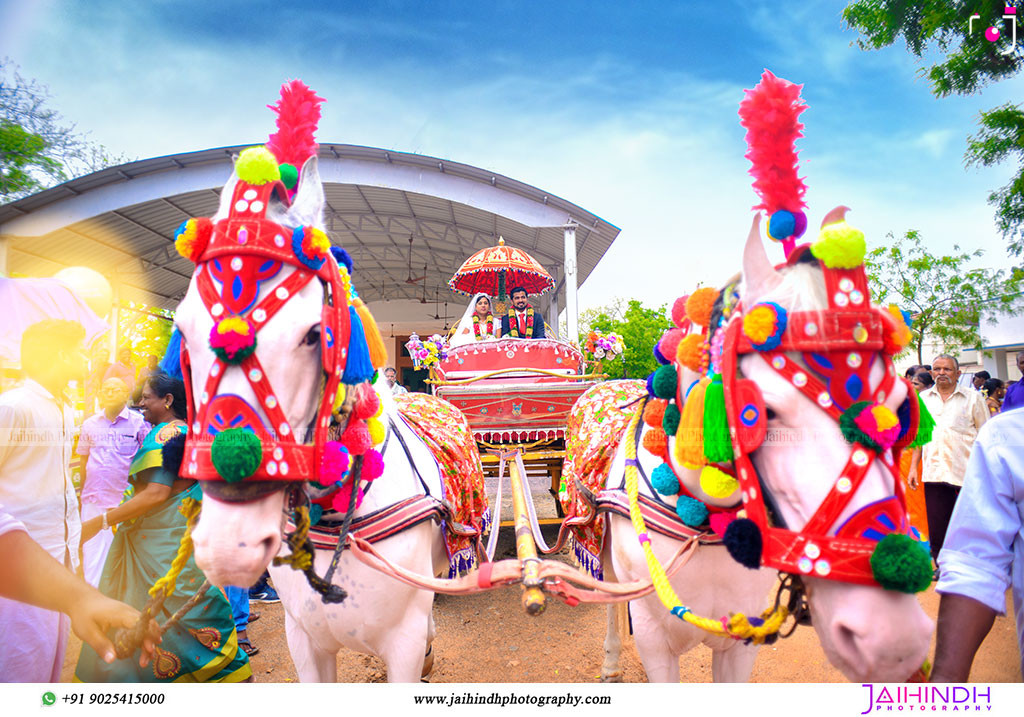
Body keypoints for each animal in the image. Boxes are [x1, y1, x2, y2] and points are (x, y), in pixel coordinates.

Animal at [589, 217, 933, 684]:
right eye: (761, 411)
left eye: (899, 406)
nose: (892, 637)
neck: (700, 525)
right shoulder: (653, 640)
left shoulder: (740, 639)